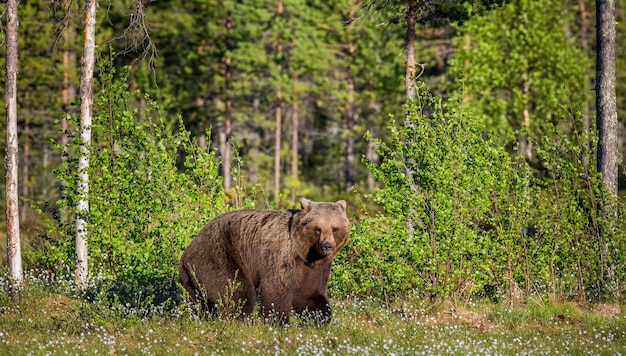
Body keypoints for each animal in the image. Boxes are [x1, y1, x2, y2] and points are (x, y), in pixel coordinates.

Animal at [178, 199, 348, 324]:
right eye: (318, 229)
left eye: (334, 228)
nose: (327, 246)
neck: (304, 252)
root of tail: (186, 253)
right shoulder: (280, 255)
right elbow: (277, 289)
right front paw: (278, 321)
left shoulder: (315, 267)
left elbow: (309, 293)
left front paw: (320, 318)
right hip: (218, 254)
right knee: (238, 290)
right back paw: (237, 319)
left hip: (193, 279)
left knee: (199, 301)